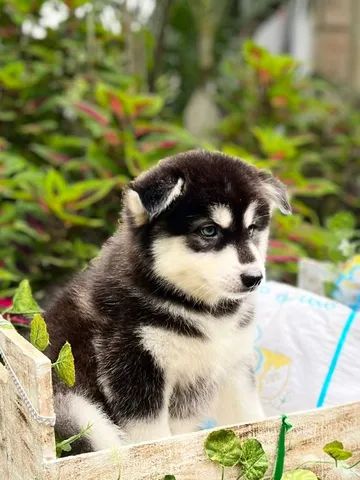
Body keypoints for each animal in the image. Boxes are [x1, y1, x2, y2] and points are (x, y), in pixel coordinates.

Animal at [45, 150, 292, 454]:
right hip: (75, 409)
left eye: (253, 228)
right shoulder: (134, 367)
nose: (254, 278)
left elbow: (250, 416)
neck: (203, 310)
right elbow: (154, 440)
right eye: (208, 230)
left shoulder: (233, 364)